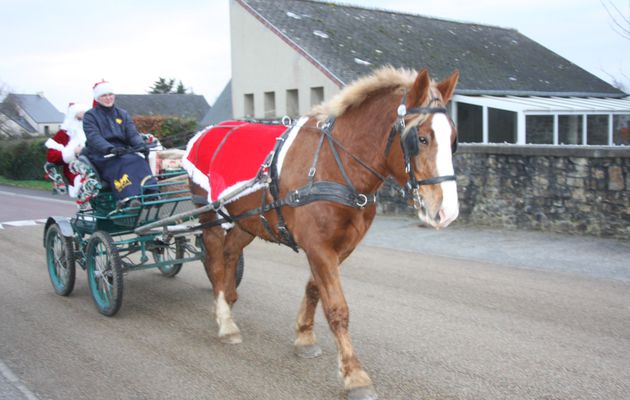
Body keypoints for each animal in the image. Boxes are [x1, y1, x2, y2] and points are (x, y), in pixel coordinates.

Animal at [186, 67, 460, 398]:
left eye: (454, 139)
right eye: (421, 138)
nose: (447, 212)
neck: (335, 164)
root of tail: (205, 132)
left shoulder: (340, 246)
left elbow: (315, 289)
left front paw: (304, 337)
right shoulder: (318, 246)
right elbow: (337, 307)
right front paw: (354, 374)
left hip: (248, 220)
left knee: (230, 253)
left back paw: (228, 301)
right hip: (209, 214)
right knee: (214, 259)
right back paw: (225, 320)